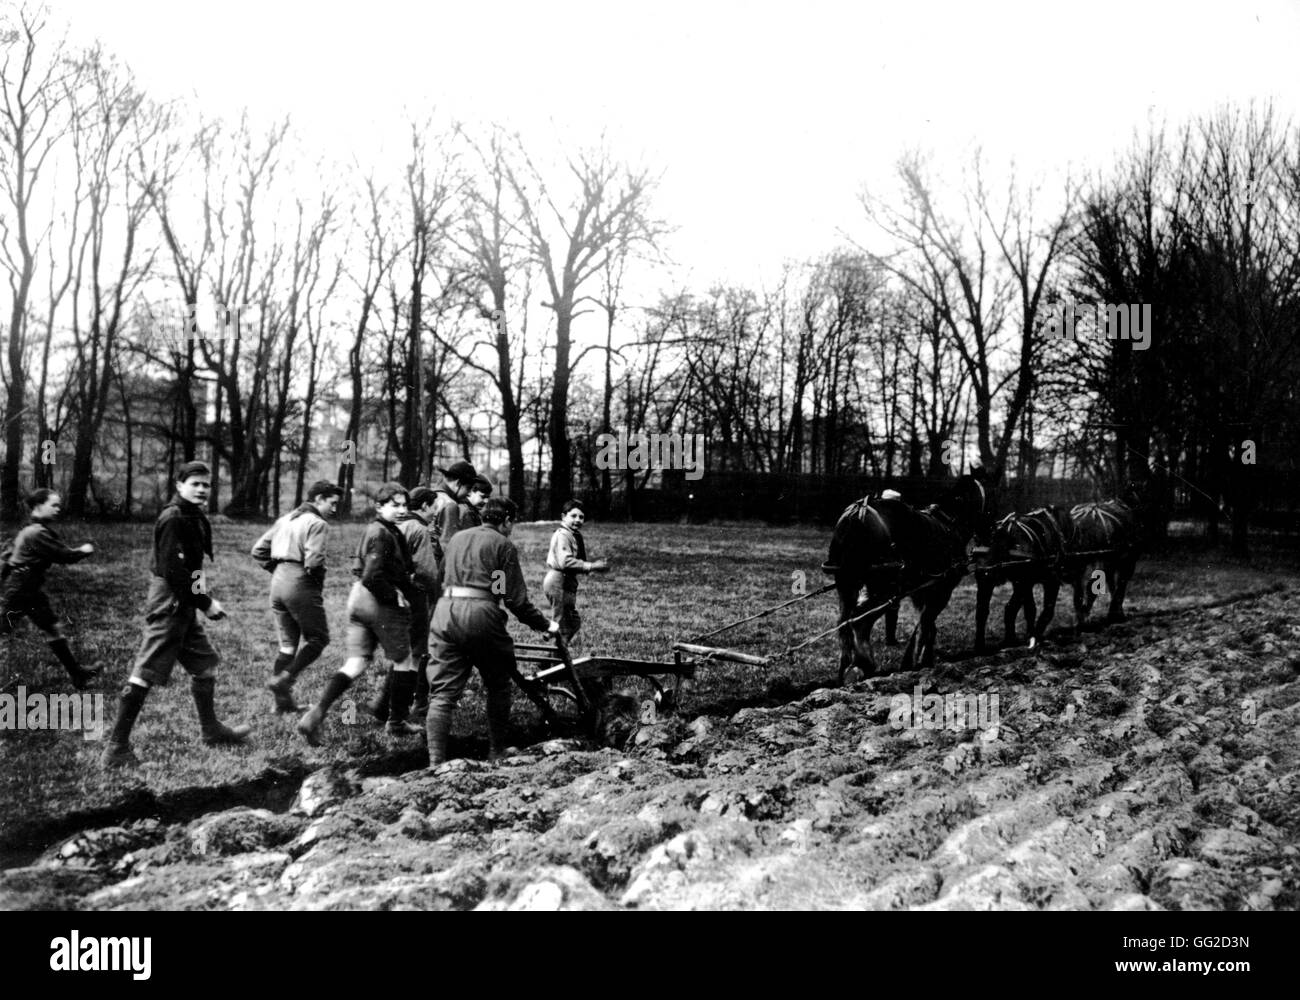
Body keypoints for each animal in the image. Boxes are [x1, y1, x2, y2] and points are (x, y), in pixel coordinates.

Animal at [821, 470, 993, 676]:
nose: (991, 531)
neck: (950, 523)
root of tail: (859, 513)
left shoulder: (921, 592)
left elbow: (928, 627)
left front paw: (919, 660)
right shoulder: (941, 590)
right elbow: (926, 626)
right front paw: (919, 663)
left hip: (847, 583)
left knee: (845, 622)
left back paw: (846, 668)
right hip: (885, 588)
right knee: (860, 621)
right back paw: (865, 663)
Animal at [977, 504, 1076, 650]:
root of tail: (1006, 530)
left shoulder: (1024, 582)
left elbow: (1026, 609)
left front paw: (1030, 636)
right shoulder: (1049, 581)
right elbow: (1045, 610)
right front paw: (1034, 636)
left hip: (986, 579)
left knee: (982, 611)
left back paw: (982, 646)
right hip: (1021, 582)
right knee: (1009, 608)